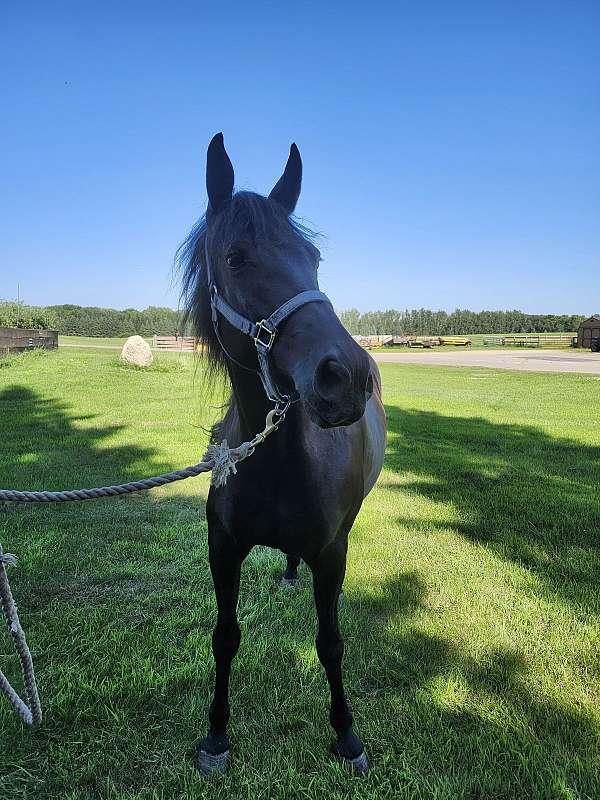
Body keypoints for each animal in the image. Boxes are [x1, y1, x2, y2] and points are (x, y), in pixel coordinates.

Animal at [178, 133, 386, 776]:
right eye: (236, 258)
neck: (276, 462)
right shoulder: (222, 548)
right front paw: (216, 735)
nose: (348, 376)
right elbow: (224, 637)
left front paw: (347, 734)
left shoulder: (332, 554)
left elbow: (331, 642)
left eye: (312, 259)